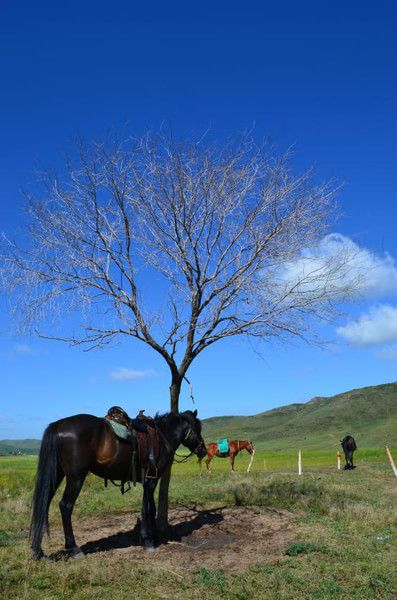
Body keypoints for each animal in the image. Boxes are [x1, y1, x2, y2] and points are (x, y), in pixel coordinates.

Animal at [29, 410, 206, 560]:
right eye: (197, 428)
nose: (203, 450)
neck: (161, 437)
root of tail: (58, 425)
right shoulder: (151, 481)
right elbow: (149, 508)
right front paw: (149, 541)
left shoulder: (147, 482)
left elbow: (148, 508)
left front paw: (151, 538)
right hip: (76, 478)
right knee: (65, 506)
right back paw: (74, 548)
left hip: (57, 474)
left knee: (43, 503)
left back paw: (38, 552)